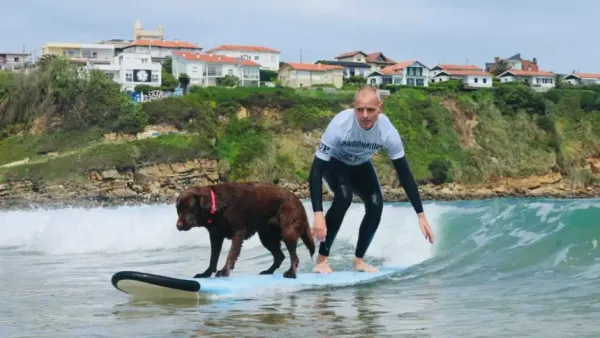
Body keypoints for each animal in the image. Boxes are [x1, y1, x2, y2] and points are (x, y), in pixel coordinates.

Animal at [175, 182, 316, 280]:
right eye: (178, 210)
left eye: (188, 208)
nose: (178, 226)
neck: (218, 205)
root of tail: (297, 199)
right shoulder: (215, 236)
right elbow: (213, 258)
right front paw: (206, 273)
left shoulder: (238, 232)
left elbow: (231, 254)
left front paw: (224, 271)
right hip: (266, 237)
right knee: (280, 256)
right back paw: (268, 271)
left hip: (288, 232)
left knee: (294, 256)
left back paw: (291, 272)